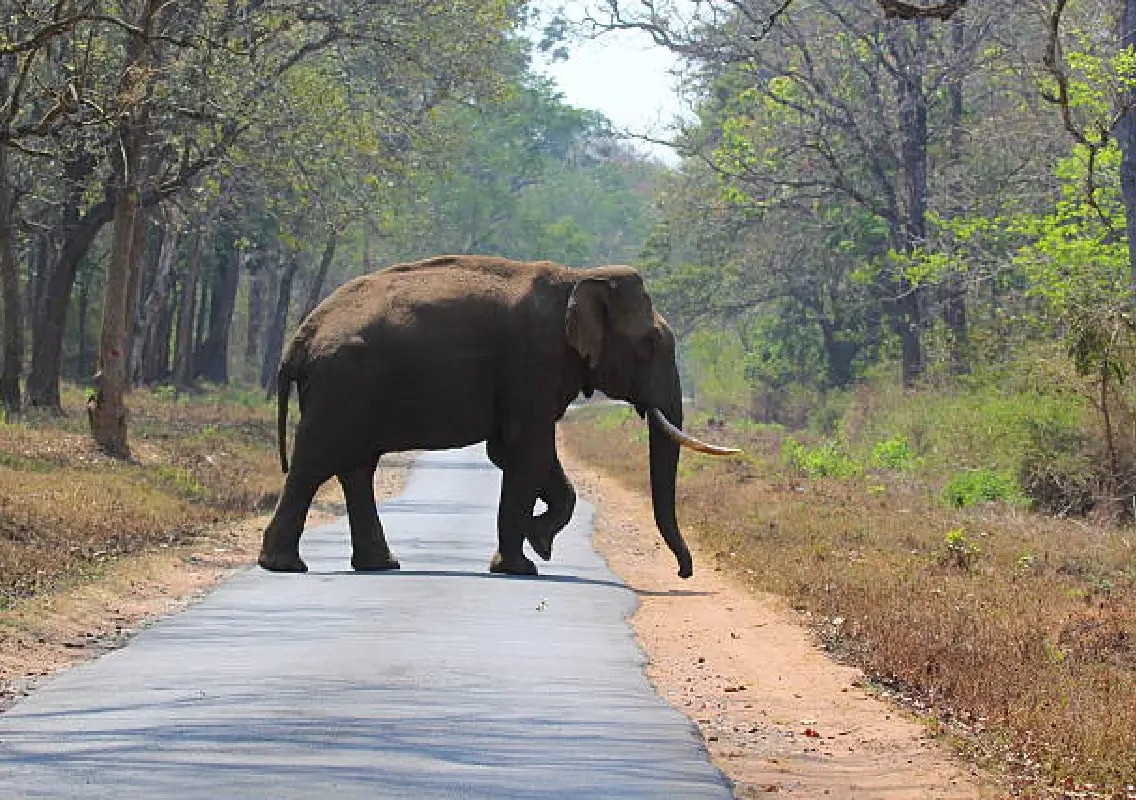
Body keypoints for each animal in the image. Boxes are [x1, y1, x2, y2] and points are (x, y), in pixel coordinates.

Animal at [258, 255, 738, 579]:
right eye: (650, 344)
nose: (684, 572)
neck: (576, 277)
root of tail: (300, 338)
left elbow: (510, 451)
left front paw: (537, 541)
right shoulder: (534, 360)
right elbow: (528, 450)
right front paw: (526, 561)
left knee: (356, 466)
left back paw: (380, 565)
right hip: (343, 384)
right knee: (315, 462)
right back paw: (284, 566)